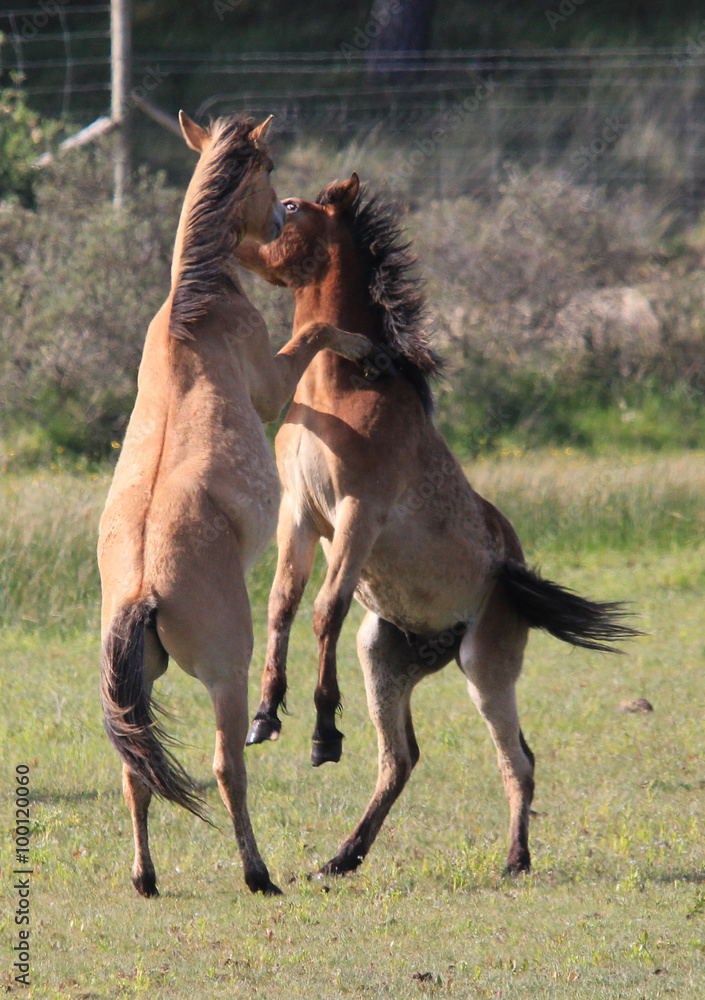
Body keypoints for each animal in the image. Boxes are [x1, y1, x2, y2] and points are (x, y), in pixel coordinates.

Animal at [98, 117, 373, 898]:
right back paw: (258, 873)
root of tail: (142, 591)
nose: (279, 215)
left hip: (144, 685)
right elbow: (311, 335)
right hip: (227, 673)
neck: (193, 316)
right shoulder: (274, 380)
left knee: (135, 773)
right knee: (227, 766)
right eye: (271, 166)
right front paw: (357, 342)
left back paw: (144, 876)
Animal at [237, 173, 639, 877]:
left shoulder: (359, 514)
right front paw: (266, 715)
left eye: (289, 206)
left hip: (485, 670)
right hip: (382, 658)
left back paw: (514, 860)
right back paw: (341, 857)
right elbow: (283, 603)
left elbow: (323, 608)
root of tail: (513, 576)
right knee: (399, 760)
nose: (233, 232)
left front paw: (321, 731)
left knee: (517, 759)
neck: (343, 384)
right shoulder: (301, 515)